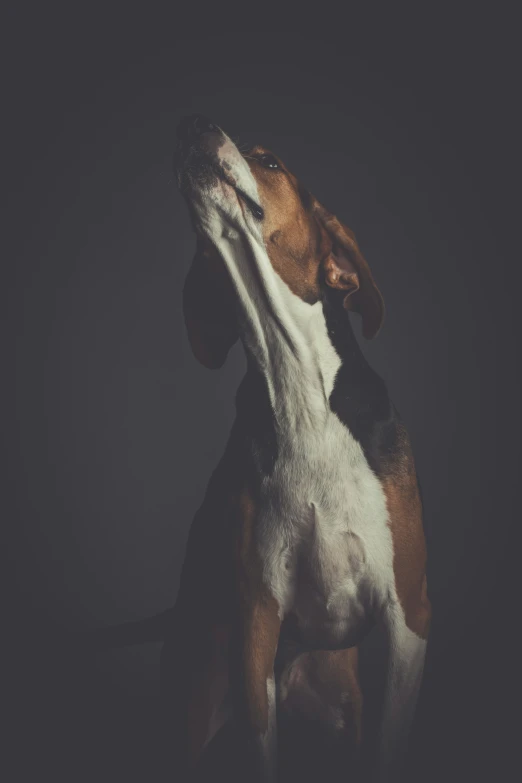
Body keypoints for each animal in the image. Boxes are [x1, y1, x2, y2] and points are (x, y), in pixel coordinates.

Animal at [162, 112, 430, 783]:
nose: (191, 122)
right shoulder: (256, 627)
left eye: (270, 161)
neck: (297, 388)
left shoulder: (408, 618)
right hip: (199, 701)